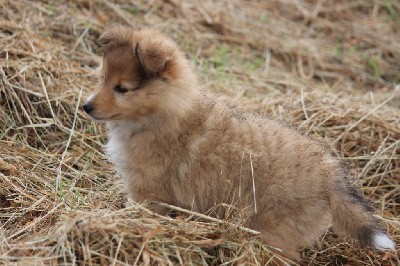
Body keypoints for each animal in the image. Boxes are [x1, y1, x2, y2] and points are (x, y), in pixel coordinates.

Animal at [83, 24, 396, 258]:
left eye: (122, 89)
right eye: (101, 78)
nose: (86, 107)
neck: (163, 112)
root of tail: (331, 174)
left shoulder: (147, 192)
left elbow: (137, 210)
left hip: (272, 230)